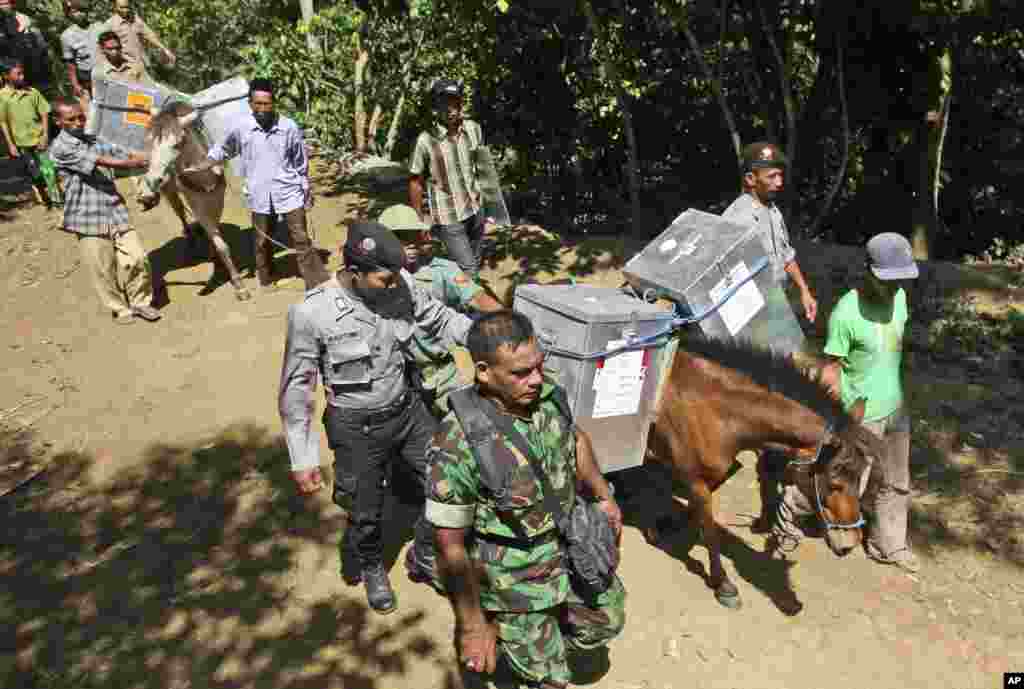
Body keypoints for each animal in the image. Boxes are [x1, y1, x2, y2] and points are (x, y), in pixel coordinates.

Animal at [136, 101, 251, 298]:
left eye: (177, 144)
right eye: (150, 143)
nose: (152, 181)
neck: (203, 175)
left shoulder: (218, 198)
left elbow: (217, 234)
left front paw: (216, 256)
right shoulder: (196, 205)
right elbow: (220, 243)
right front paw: (239, 285)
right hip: (171, 192)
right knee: (180, 212)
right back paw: (189, 238)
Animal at [643, 333, 884, 606]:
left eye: (860, 477)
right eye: (835, 483)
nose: (850, 544)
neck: (716, 411)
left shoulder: (708, 477)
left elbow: (698, 514)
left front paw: (666, 524)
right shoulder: (695, 479)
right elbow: (710, 530)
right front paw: (722, 583)